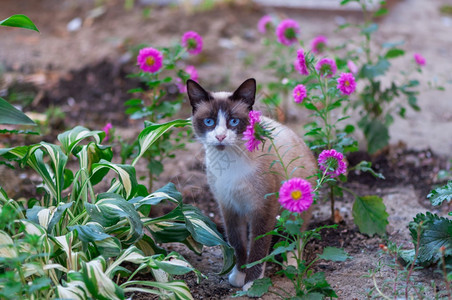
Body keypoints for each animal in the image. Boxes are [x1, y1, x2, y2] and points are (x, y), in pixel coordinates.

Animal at [185, 77, 316, 290]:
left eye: (233, 121)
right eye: (209, 122)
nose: (220, 137)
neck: (229, 163)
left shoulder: (263, 207)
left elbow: (258, 246)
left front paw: (253, 283)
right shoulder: (228, 205)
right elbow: (237, 242)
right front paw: (239, 275)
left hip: (294, 204)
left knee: (296, 234)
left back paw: (291, 262)